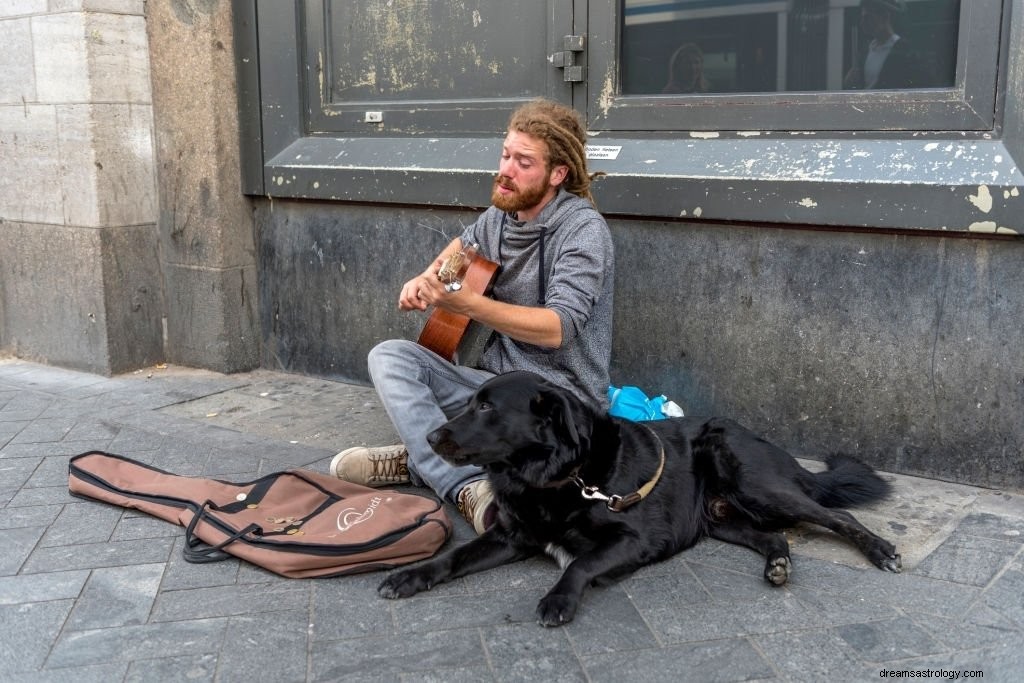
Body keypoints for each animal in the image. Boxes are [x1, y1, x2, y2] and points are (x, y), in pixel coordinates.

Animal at [378, 370, 905, 626]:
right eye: (471, 403)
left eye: (487, 407)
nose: (430, 437)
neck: (558, 477)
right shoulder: (509, 536)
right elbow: (453, 557)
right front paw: (411, 575)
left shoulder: (631, 539)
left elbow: (580, 563)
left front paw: (558, 600)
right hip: (723, 519)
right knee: (775, 539)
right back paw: (777, 565)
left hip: (756, 484)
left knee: (837, 515)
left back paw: (881, 550)